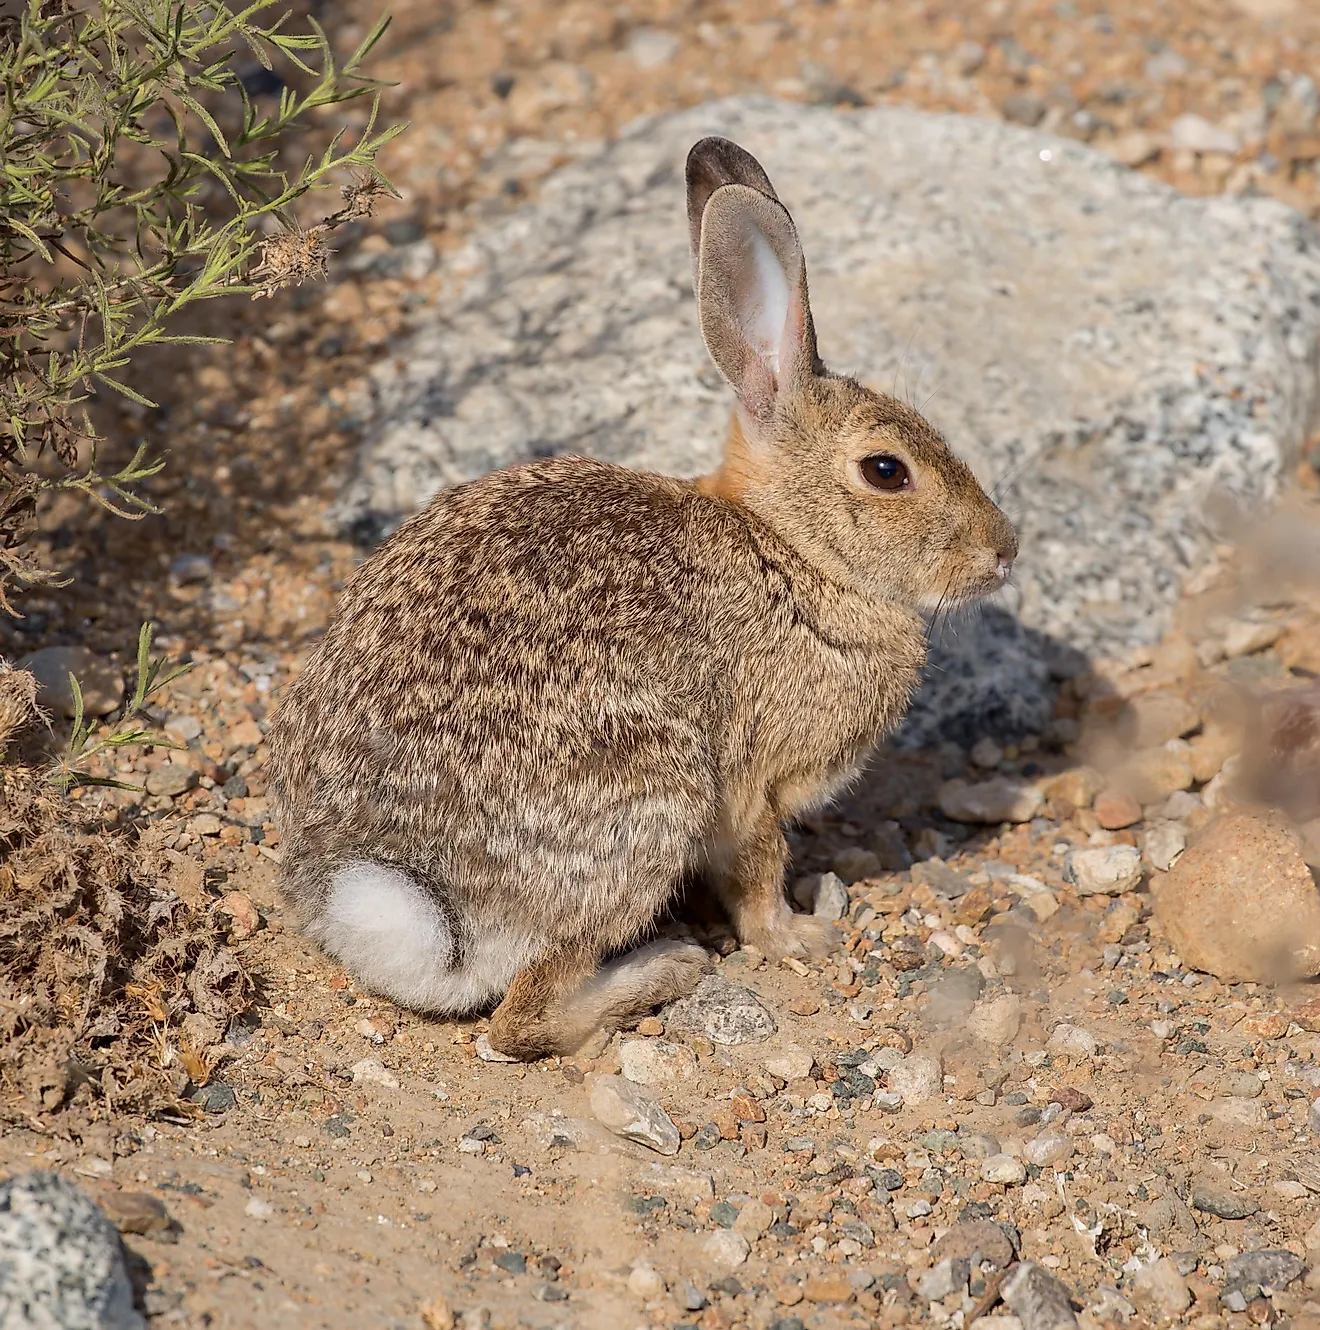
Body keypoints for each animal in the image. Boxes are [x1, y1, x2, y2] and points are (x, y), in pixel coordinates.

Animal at [263, 134, 1016, 1058]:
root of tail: (407, 897)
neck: (791, 554)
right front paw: (800, 939)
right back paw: (664, 969)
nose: (1004, 551)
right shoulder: (753, 785)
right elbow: (759, 872)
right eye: (886, 471)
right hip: (652, 800)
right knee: (523, 1018)